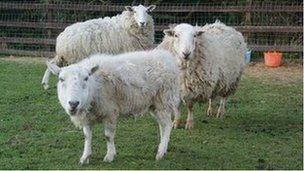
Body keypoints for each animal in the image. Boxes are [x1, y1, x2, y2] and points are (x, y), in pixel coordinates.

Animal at [45, 49, 180, 164]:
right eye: (61, 79)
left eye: (86, 78)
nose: (73, 103)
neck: (95, 86)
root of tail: (167, 57)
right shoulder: (88, 116)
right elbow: (87, 136)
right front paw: (85, 157)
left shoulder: (110, 111)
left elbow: (108, 136)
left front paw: (109, 156)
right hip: (154, 104)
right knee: (162, 125)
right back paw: (163, 147)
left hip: (164, 100)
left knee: (167, 125)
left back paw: (161, 152)